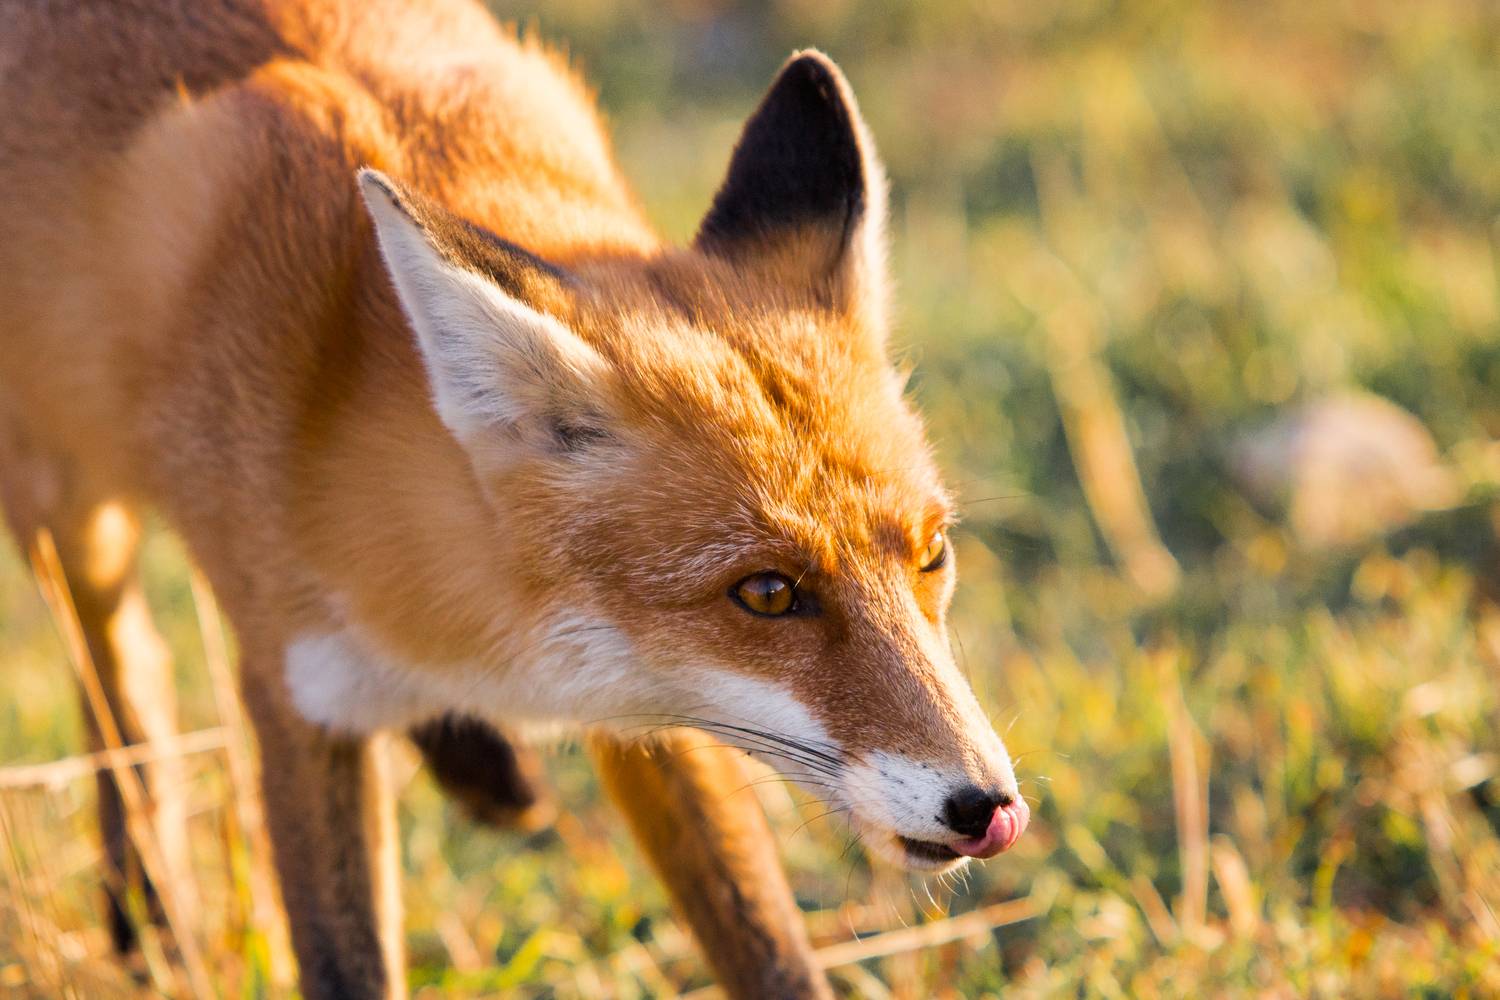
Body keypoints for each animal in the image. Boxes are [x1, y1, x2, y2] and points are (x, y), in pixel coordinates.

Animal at [0, 0, 1030, 997]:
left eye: (932, 555)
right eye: (769, 593)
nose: (988, 806)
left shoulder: (653, 710)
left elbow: (765, 943)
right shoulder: (298, 695)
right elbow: (344, 961)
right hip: (67, 513)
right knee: (125, 670)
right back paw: (147, 914)